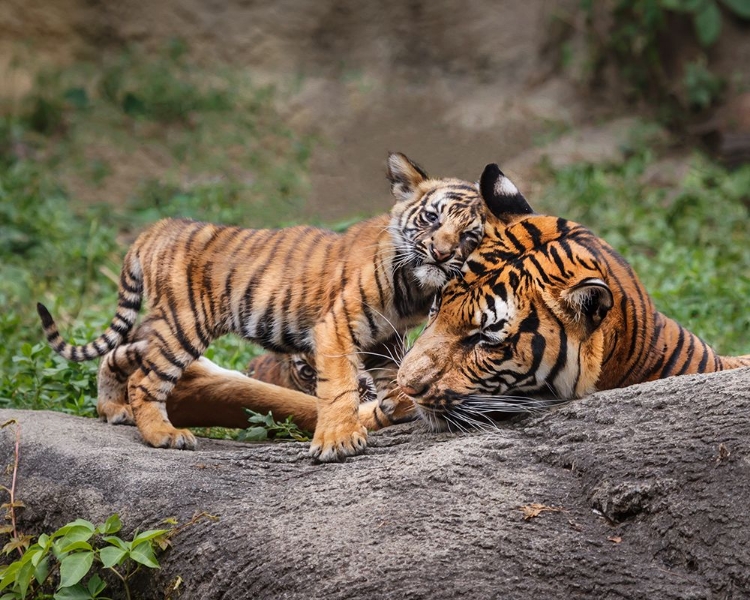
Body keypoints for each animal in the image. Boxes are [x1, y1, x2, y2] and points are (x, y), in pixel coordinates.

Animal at [39, 152, 488, 462]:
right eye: (431, 218)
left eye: (470, 236)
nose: (440, 253)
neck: (418, 287)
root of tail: (159, 226)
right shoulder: (337, 325)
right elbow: (338, 385)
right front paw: (338, 440)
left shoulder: (384, 337)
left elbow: (392, 375)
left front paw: (398, 402)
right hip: (186, 324)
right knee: (146, 380)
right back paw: (163, 435)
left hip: (163, 326)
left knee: (118, 354)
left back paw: (112, 409)